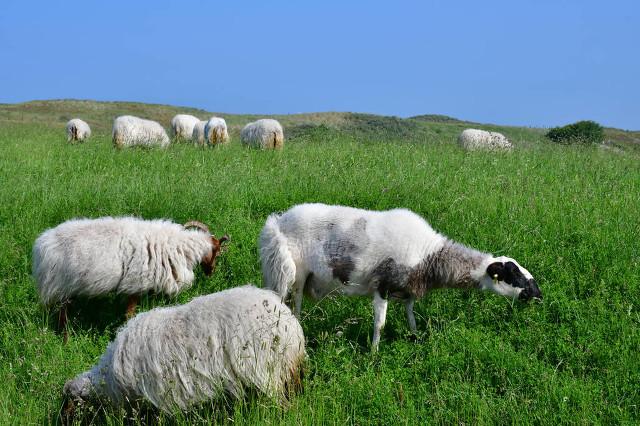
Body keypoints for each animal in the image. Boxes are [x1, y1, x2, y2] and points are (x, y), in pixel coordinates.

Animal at [31, 218, 230, 342]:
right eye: (217, 251)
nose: (211, 272)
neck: (180, 247)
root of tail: (42, 245)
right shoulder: (135, 284)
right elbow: (129, 314)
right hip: (59, 286)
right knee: (62, 317)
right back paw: (66, 341)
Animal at [258, 203, 540, 350]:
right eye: (512, 274)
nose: (538, 295)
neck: (429, 255)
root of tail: (277, 221)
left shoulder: (408, 290)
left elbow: (411, 317)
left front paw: (415, 340)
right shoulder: (382, 286)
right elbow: (379, 324)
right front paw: (373, 353)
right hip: (290, 273)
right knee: (287, 306)